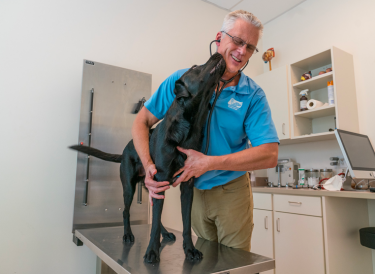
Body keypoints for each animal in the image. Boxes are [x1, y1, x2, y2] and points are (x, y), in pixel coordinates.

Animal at [70, 52, 226, 264]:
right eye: (195, 67)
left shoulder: (186, 186)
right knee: (126, 211)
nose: (218, 53)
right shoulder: (159, 182)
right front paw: (152, 251)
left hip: (150, 185)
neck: (189, 127)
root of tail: (125, 150)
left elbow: (185, 224)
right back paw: (128, 235)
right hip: (130, 187)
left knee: (155, 216)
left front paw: (190, 250)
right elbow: (154, 224)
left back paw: (165, 234)